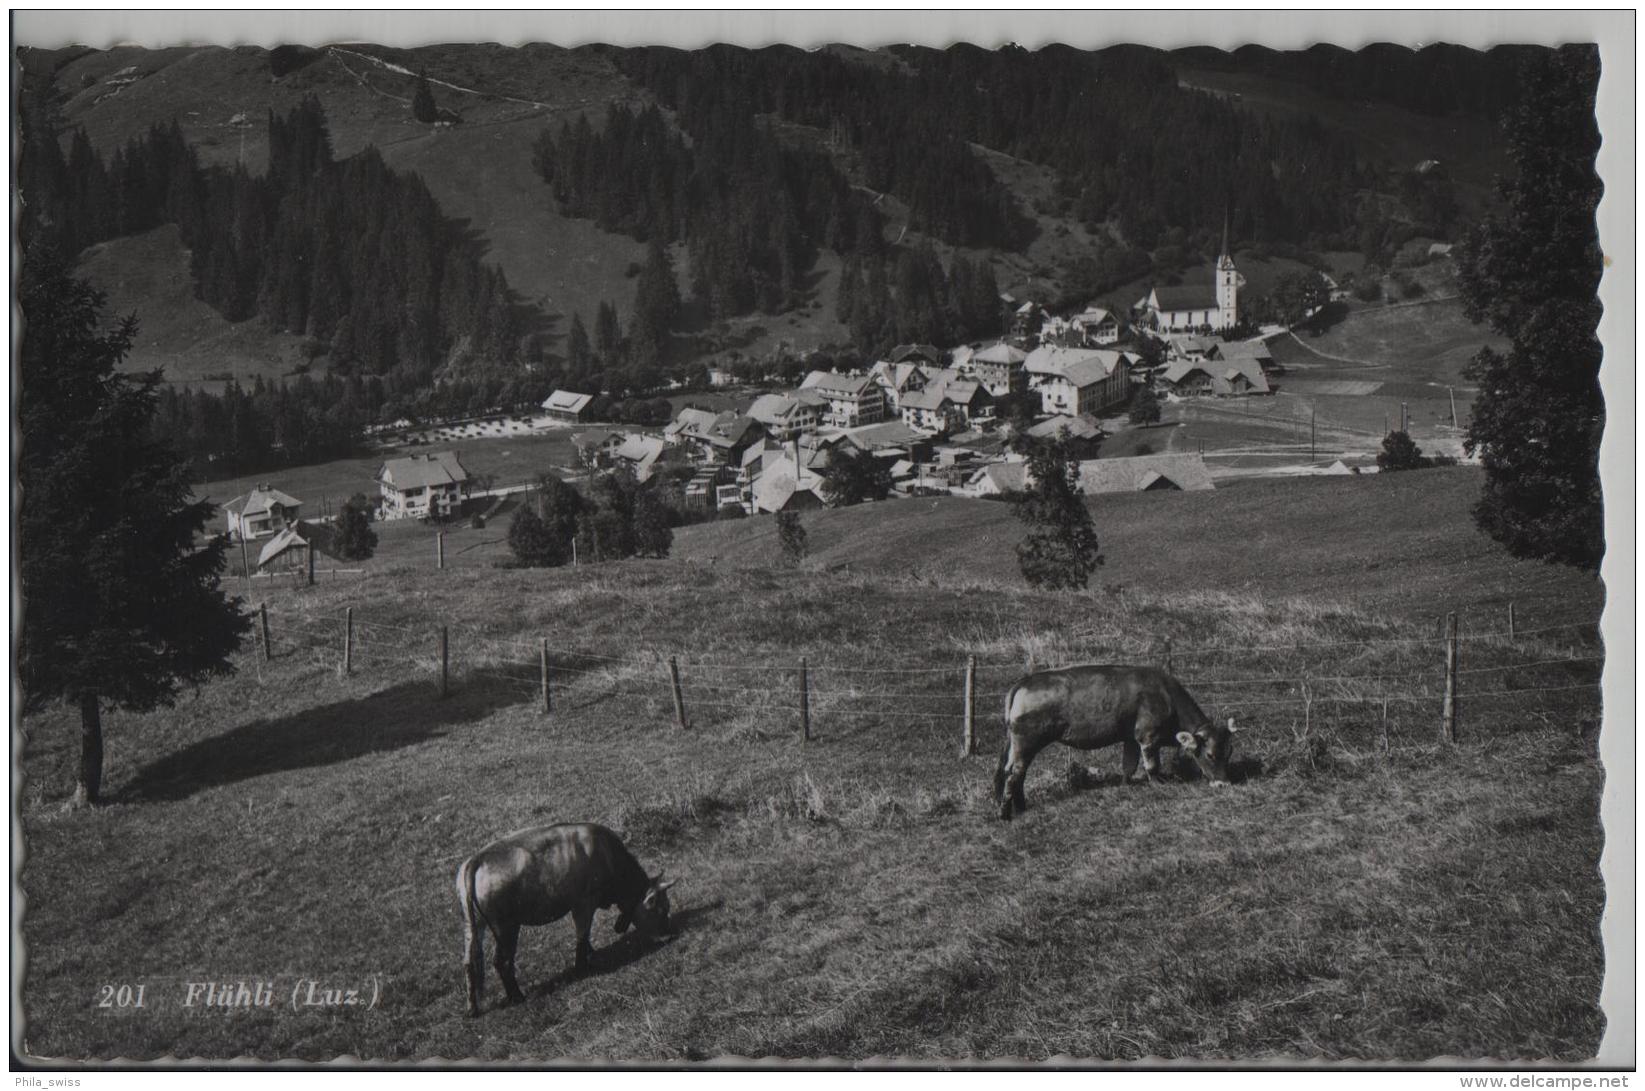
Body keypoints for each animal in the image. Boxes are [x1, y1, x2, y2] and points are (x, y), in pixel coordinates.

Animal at [454, 822, 671, 1020]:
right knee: (501, 961)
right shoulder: (584, 902)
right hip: (506, 927)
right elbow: (582, 934)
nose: (667, 936)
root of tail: (477, 860)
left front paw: (592, 954)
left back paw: (472, 1009)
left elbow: (584, 934)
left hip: (473, 925)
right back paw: (517, 996)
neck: (606, 853)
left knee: (468, 962)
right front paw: (582, 967)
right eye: (660, 909)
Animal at [987, 664, 1237, 819]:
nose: (1224, 784)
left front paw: (1126, 784)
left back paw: (1021, 807)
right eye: (1210, 754)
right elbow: (1151, 765)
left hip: (1016, 745)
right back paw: (1005, 814)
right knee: (1013, 776)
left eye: (1229, 753)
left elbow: (1129, 765)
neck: (1166, 696)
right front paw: (1158, 783)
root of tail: (1024, 681)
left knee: (1011, 773)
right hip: (1026, 743)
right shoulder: (1147, 736)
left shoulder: (1130, 739)